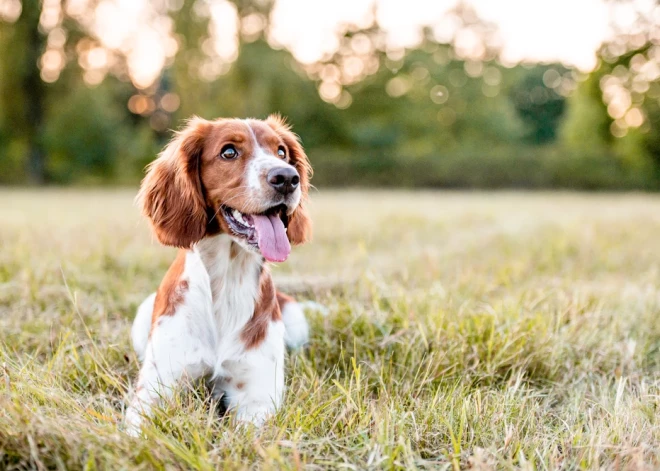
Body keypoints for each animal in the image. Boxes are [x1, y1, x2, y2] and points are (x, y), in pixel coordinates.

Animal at [125, 114, 312, 436]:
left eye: (281, 152)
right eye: (229, 152)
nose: (287, 178)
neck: (228, 280)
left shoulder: (257, 396)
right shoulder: (154, 389)